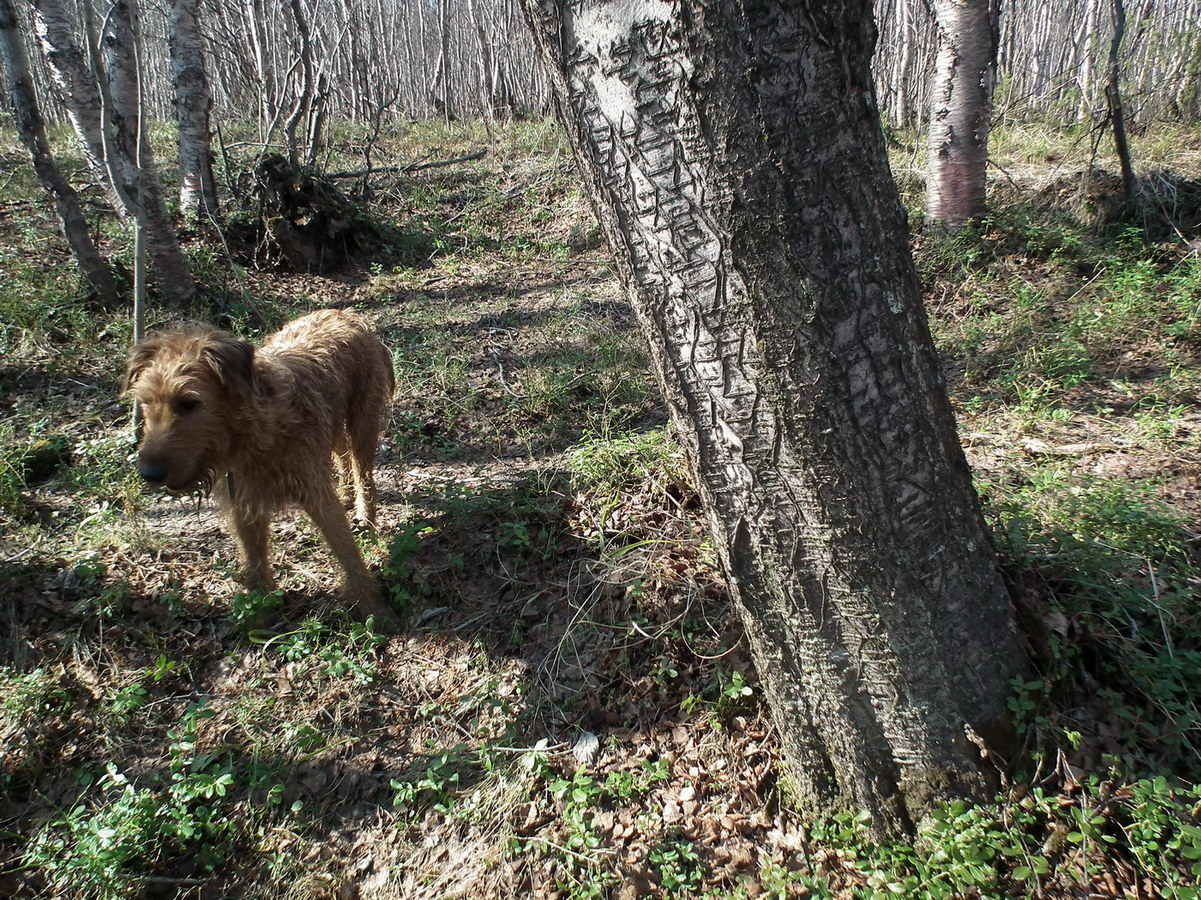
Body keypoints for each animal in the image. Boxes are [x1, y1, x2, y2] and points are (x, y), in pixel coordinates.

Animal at [124, 305, 401, 629]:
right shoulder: (243, 503)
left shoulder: (316, 494)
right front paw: (261, 614)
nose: (149, 474)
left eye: (189, 403)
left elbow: (347, 552)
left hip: (362, 420)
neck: (259, 430)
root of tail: (345, 314)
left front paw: (376, 610)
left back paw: (366, 519)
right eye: (144, 402)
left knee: (363, 473)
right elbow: (255, 562)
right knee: (342, 455)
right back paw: (348, 495)